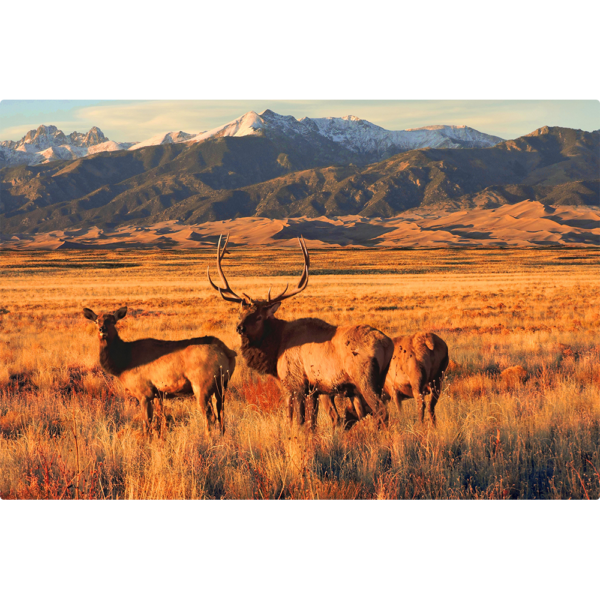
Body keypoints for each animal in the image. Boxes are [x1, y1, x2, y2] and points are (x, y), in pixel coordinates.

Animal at [82, 310, 237, 436]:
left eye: (113, 320)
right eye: (97, 320)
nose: (102, 329)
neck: (122, 363)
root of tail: (228, 353)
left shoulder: (144, 392)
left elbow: (147, 424)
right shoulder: (157, 394)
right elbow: (158, 423)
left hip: (202, 385)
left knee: (209, 415)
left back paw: (208, 440)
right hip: (222, 386)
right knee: (221, 413)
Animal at [206, 236, 394, 432]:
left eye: (258, 317)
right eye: (240, 313)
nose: (240, 328)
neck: (276, 350)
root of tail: (387, 344)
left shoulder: (296, 384)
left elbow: (298, 421)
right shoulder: (314, 390)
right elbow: (311, 423)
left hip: (364, 378)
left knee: (381, 411)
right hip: (380, 379)